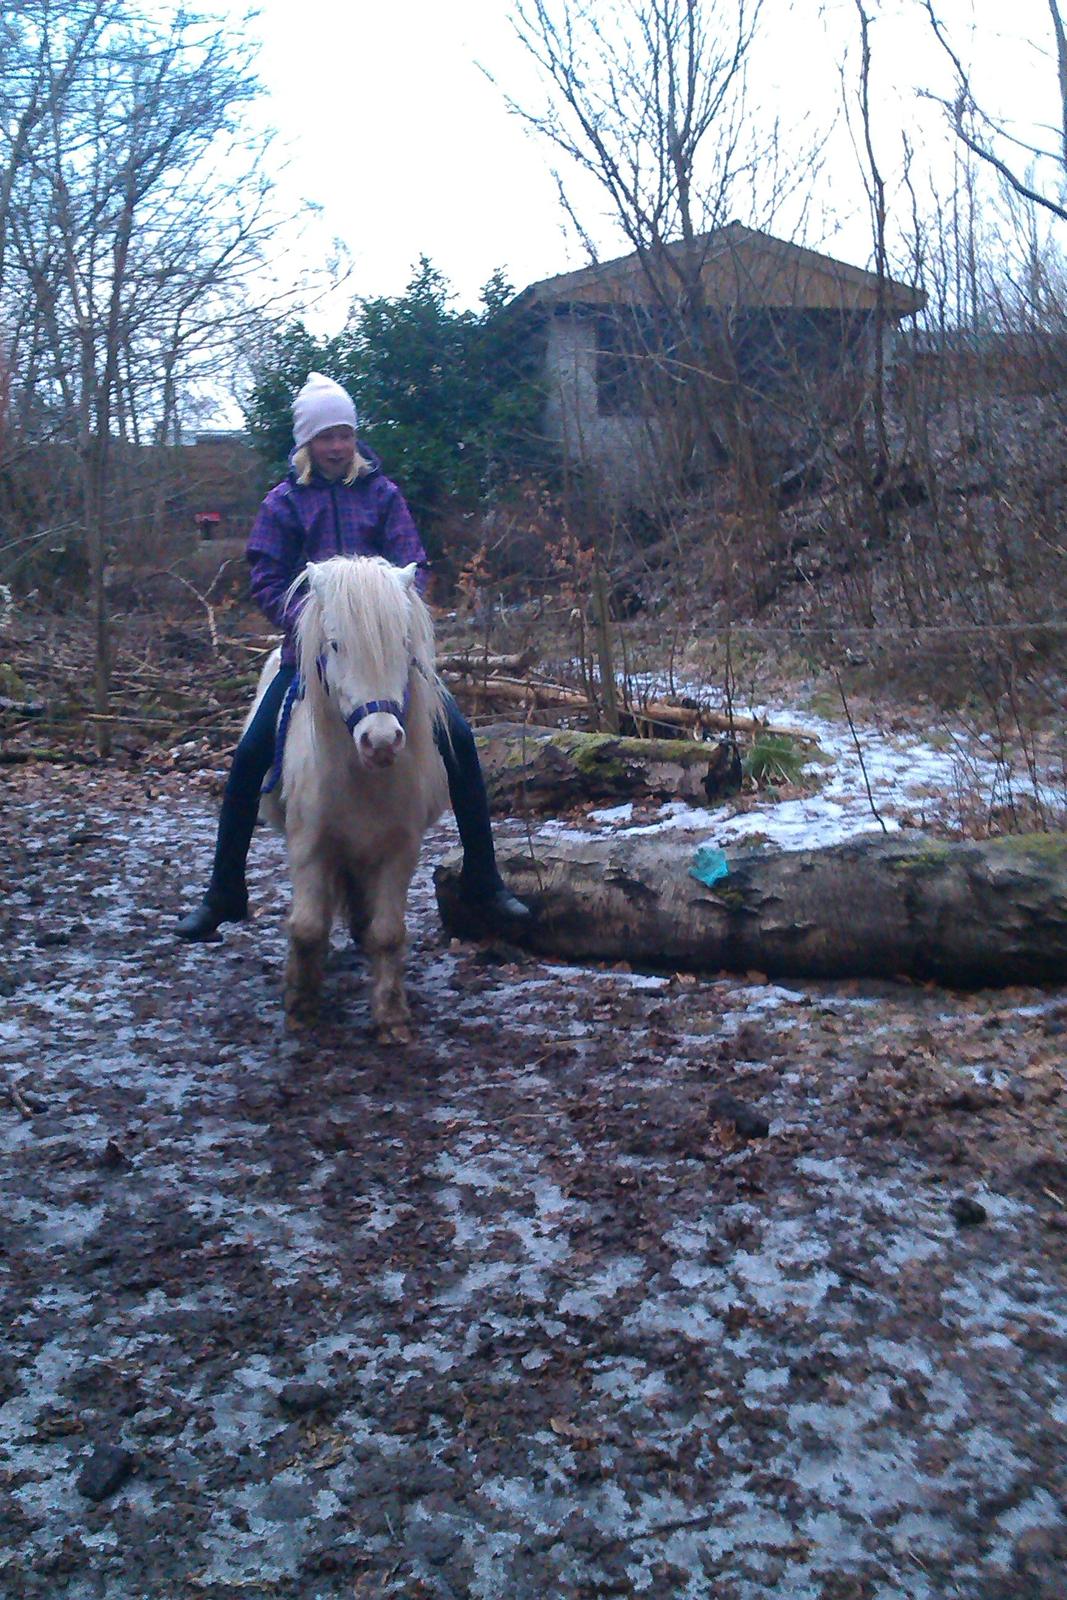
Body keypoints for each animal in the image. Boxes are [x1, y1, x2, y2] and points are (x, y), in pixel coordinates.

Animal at [254, 556, 447, 1043]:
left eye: (404, 642)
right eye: (336, 644)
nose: (380, 742)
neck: (363, 779)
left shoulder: (400, 849)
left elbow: (388, 931)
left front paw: (391, 1016)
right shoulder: (309, 846)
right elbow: (307, 927)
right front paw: (301, 1007)